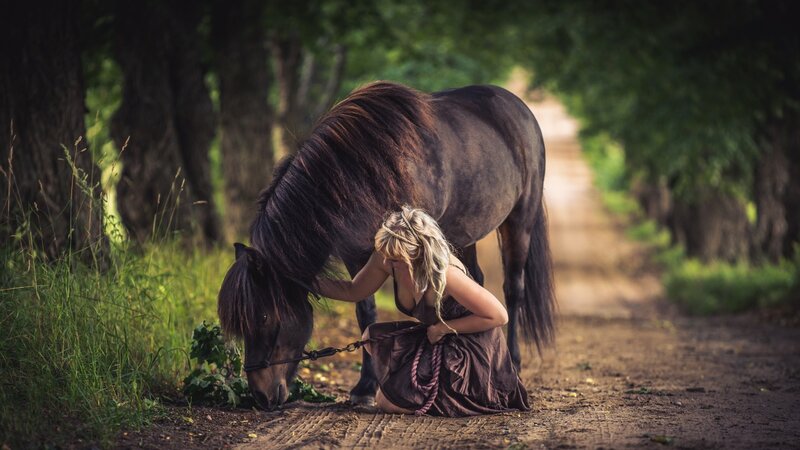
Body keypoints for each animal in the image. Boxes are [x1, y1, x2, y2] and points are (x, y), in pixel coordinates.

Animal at [217, 81, 555, 411]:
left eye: (264, 317)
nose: (260, 396)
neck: (363, 171)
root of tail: (519, 107)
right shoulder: (356, 253)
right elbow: (365, 311)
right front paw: (365, 388)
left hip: (519, 221)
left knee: (513, 290)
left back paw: (513, 363)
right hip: (464, 233)